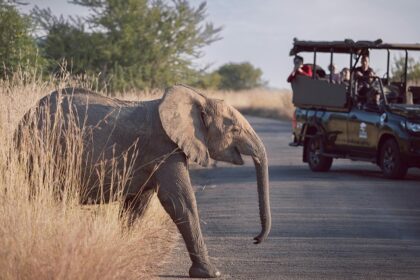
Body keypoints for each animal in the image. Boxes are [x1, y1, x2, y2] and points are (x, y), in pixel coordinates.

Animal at [18, 85, 270, 278]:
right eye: (234, 129)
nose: (255, 239)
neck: (197, 98)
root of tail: (24, 118)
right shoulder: (164, 148)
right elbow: (179, 201)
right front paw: (210, 274)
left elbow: (137, 204)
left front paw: (122, 250)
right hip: (40, 151)